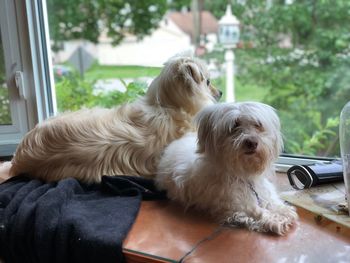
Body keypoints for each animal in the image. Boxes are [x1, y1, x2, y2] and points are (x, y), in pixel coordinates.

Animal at [156, 102, 298, 235]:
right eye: (235, 125)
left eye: (258, 124)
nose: (252, 142)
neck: (243, 173)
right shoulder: (233, 202)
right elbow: (255, 210)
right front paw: (274, 218)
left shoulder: (262, 190)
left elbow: (271, 200)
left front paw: (282, 210)